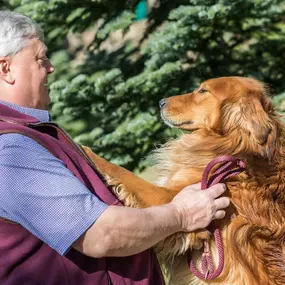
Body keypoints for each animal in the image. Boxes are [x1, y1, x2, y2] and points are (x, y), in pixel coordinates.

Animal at [82, 76, 284, 284]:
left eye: (203, 91)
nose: (161, 102)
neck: (232, 145)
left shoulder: (171, 199)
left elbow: (123, 173)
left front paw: (87, 151)